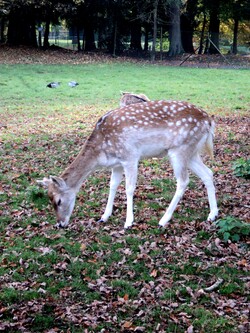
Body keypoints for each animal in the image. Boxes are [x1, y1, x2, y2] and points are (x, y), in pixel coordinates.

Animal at [37, 98, 219, 228]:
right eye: (49, 199)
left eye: (58, 201)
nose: (60, 224)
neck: (101, 152)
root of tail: (209, 121)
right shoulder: (117, 164)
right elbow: (112, 185)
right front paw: (104, 216)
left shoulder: (130, 156)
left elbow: (129, 188)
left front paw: (128, 222)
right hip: (192, 152)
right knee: (208, 173)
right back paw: (212, 214)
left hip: (179, 149)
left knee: (183, 181)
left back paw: (163, 220)